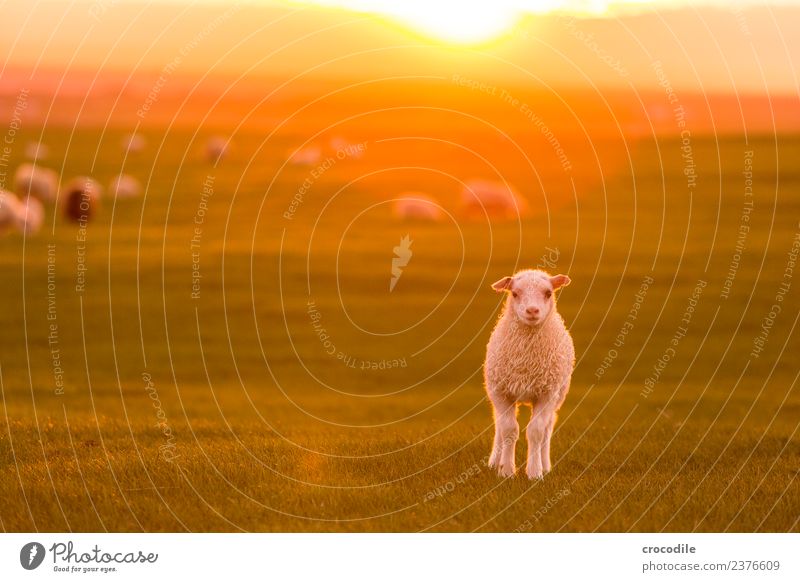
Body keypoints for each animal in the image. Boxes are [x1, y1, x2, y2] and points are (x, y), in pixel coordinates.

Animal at [482, 272, 576, 482]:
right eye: (515, 293)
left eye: (548, 293)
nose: (532, 310)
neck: (526, 360)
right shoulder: (501, 392)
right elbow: (508, 430)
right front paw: (506, 470)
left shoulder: (546, 394)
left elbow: (536, 431)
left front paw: (534, 472)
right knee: (498, 425)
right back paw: (494, 461)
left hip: (558, 395)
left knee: (548, 428)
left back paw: (545, 464)